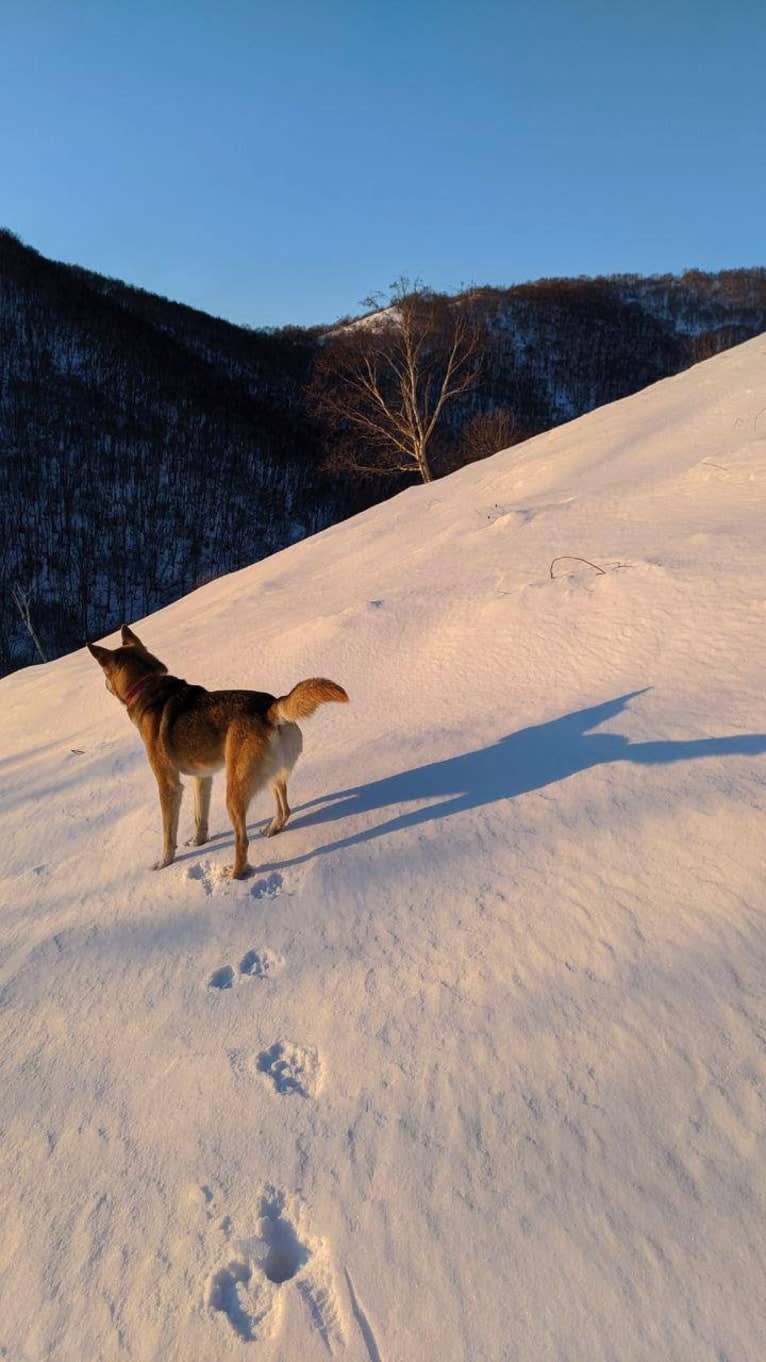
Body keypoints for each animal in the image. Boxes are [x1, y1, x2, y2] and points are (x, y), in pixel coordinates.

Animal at [87, 623, 347, 877]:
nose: (103, 685)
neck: (146, 685)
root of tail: (270, 707)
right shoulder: (202, 778)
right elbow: (200, 818)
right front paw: (198, 843)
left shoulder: (169, 785)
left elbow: (168, 835)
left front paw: (164, 864)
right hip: (271, 776)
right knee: (285, 810)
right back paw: (271, 830)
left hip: (233, 792)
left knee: (243, 841)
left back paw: (234, 874)